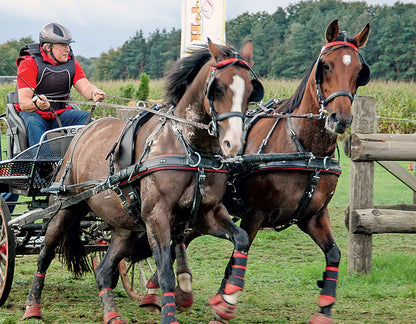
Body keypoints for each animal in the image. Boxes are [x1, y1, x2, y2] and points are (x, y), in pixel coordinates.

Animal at [21, 39, 264, 324]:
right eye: (220, 88)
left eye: (251, 90)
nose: (233, 144)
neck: (189, 147)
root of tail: (82, 132)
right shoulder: (156, 216)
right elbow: (166, 271)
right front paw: (169, 313)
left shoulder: (208, 212)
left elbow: (241, 239)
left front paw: (226, 303)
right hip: (65, 209)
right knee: (45, 253)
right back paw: (32, 306)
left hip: (123, 225)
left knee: (104, 270)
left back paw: (112, 314)